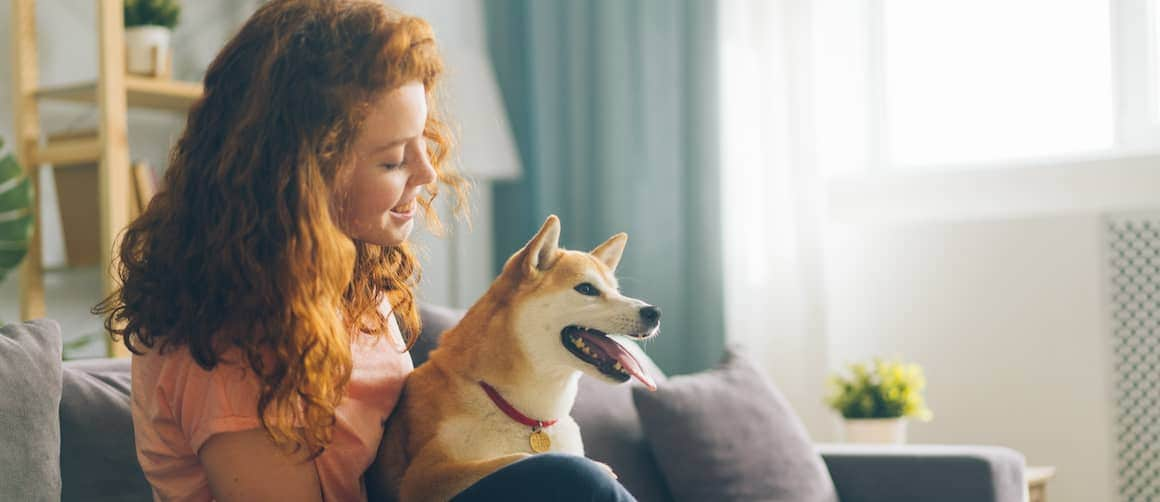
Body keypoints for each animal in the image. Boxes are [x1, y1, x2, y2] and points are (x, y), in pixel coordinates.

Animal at [371, 213, 663, 498]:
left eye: (616, 291)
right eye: (587, 289)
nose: (654, 312)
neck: (528, 416)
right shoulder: (424, 477)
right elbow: (519, 459)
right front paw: (597, 466)